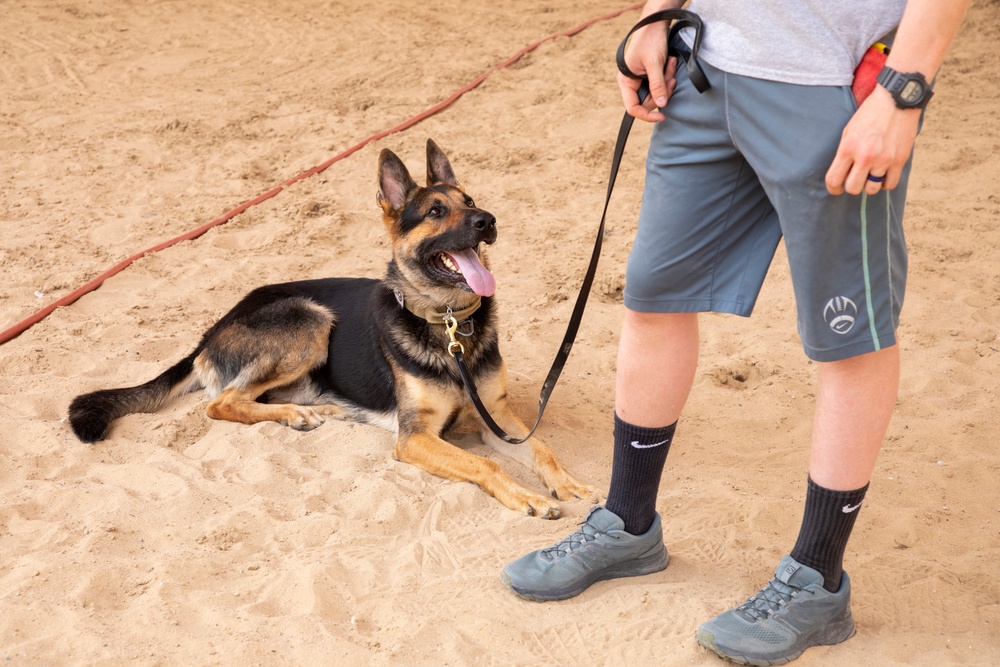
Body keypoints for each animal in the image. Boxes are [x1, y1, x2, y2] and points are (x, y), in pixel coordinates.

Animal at [74, 140, 600, 516]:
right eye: (435, 212)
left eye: (470, 200)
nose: (488, 220)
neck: (450, 325)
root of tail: (212, 330)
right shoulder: (413, 438)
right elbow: (484, 462)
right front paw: (529, 497)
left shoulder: (498, 417)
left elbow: (543, 449)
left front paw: (570, 484)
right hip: (310, 318)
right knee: (223, 402)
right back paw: (295, 415)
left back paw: (315, 410)